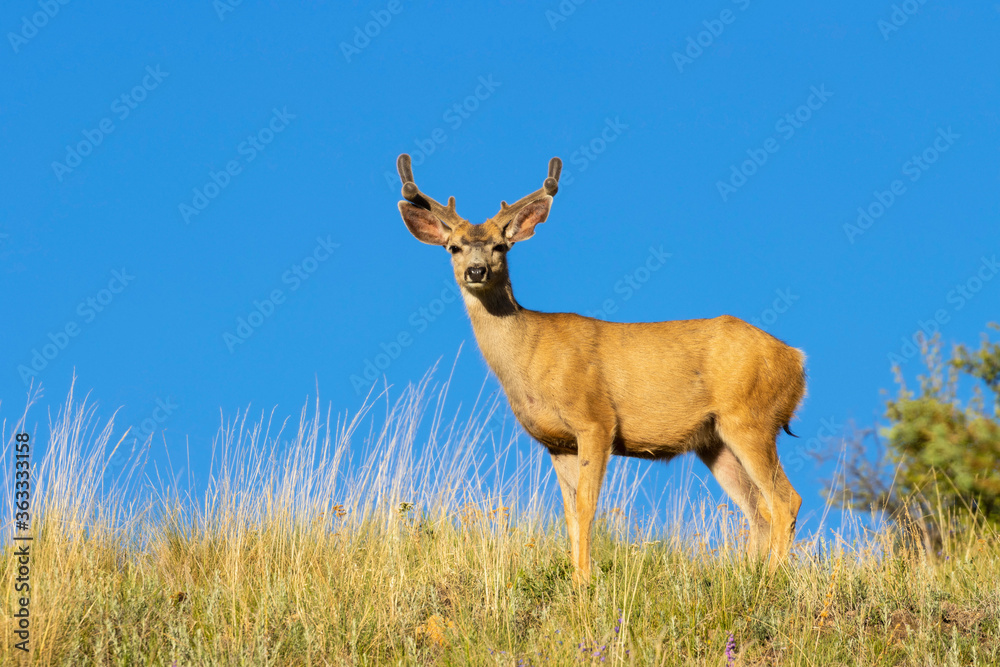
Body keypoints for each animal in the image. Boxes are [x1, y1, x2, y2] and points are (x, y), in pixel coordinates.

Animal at [394, 153, 807, 584]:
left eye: (500, 246)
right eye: (454, 247)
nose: (476, 271)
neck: (530, 354)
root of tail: (797, 358)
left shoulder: (595, 419)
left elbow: (587, 506)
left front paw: (585, 581)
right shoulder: (557, 442)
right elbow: (569, 514)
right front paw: (579, 579)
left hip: (751, 417)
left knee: (785, 499)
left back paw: (773, 579)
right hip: (714, 439)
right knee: (757, 509)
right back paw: (752, 575)